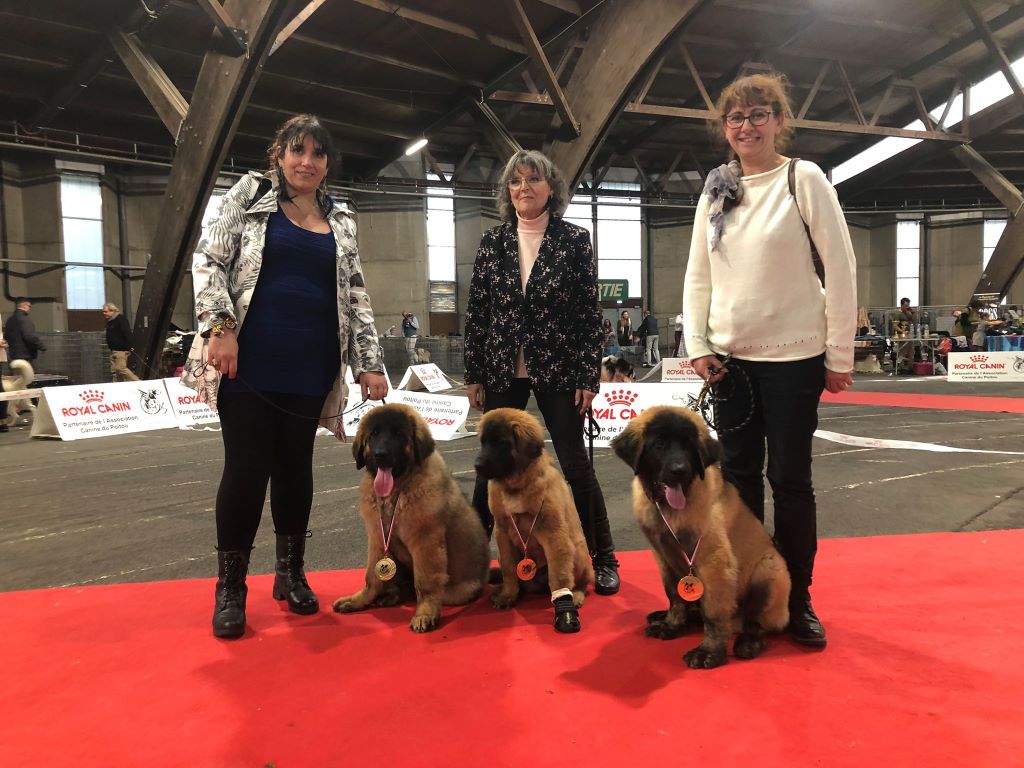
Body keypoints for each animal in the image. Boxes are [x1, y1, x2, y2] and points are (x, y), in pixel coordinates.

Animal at [329, 405, 485, 634]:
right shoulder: (377, 537)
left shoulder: (425, 542)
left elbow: (425, 583)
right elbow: (372, 577)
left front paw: (425, 614)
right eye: (374, 434)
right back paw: (389, 597)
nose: (380, 454)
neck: (398, 489)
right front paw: (359, 600)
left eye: (398, 434)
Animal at [473, 405, 593, 634]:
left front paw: (565, 610)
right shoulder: (502, 531)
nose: (477, 465)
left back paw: (577, 595)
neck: (516, 485)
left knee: (579, 581)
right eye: (483, 442)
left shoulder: (554, 534)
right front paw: (508, 595)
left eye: (501, 443)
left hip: (578, 551)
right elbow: (509, 569)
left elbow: (560, 578)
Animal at [606, 409, 790, 667]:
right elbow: (674, 595)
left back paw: (748, 642)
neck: (669, 510)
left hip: (769, 571)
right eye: (659, 445)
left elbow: (713, 613)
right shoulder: (663, 556)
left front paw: (708, 652)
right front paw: (672, 626)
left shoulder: (714, 564)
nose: (679, 470)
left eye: (688, 447)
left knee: (757, 622)